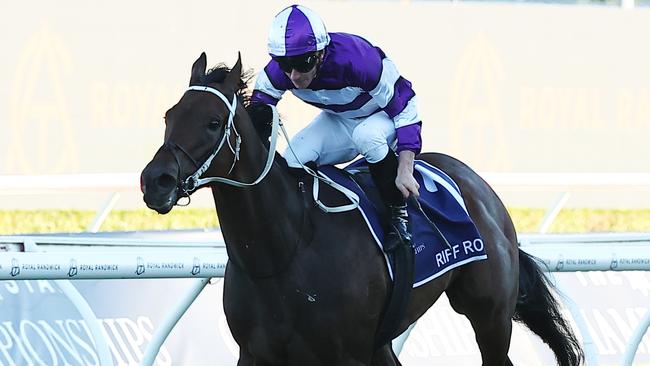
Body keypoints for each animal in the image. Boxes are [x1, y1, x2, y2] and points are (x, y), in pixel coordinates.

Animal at [140, 52, 584, 366]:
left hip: (490, 315)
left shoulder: (348, 353)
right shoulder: (255, 353)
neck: (284, 251)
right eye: (168, 115)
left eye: (214, 122)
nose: (155, 181)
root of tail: (482, 189)